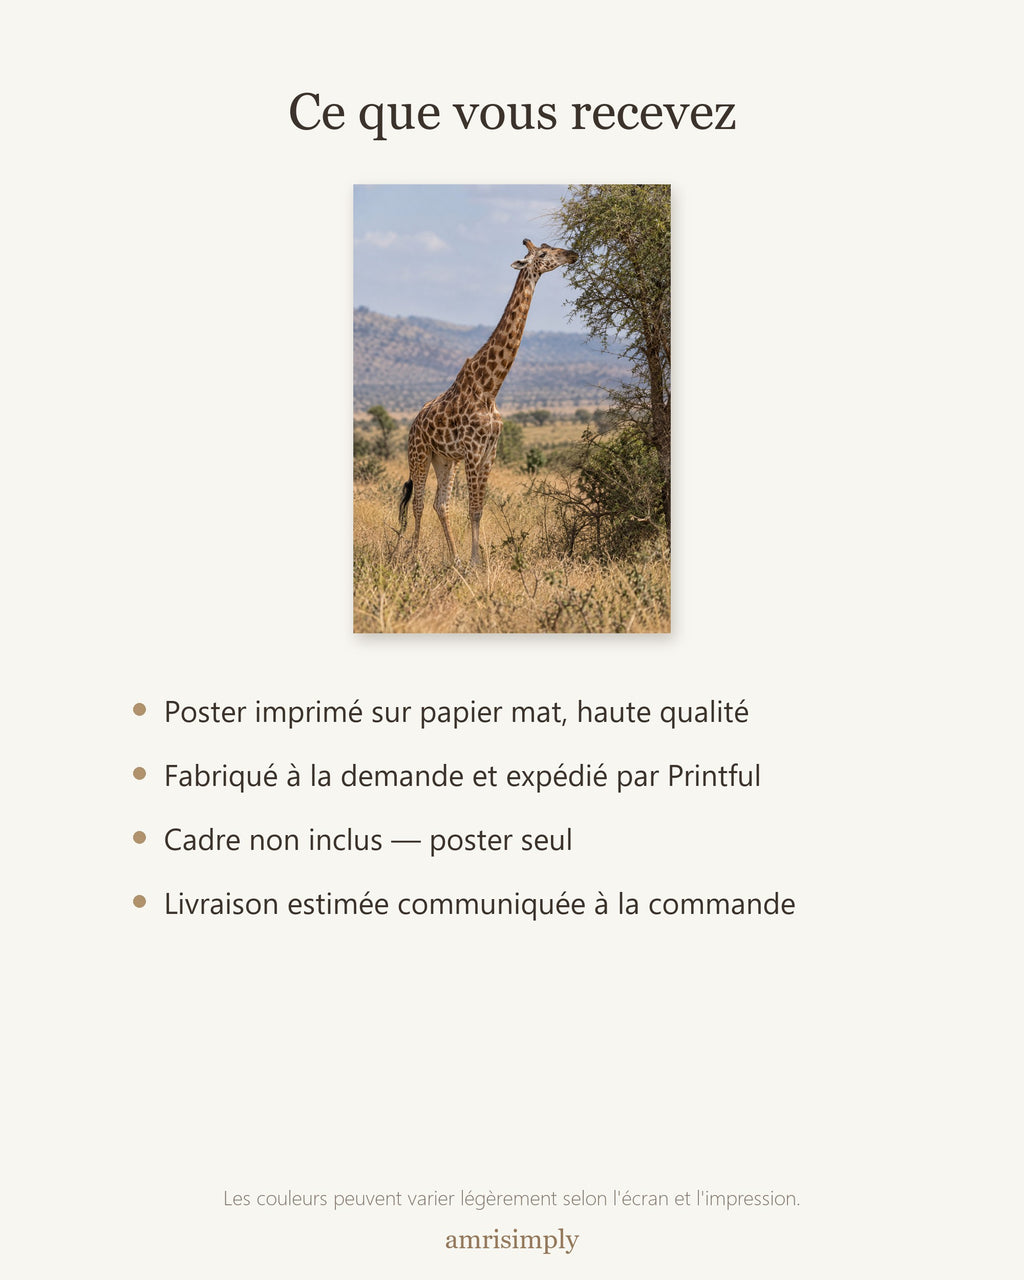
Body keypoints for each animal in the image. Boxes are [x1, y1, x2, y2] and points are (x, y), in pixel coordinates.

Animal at [398, 238, 579, 566]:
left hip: (445, 459)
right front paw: (475, 563)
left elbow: (479, 510)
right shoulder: (472, 451)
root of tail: (414, 421)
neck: (490, 388)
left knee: (439, 503)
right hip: (418, 453)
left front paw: (475, 561)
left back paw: (454, 559)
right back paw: (414, 556)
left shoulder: (489, 451)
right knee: (418, 502)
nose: (573, 254)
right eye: (544, 253)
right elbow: (472, 509)